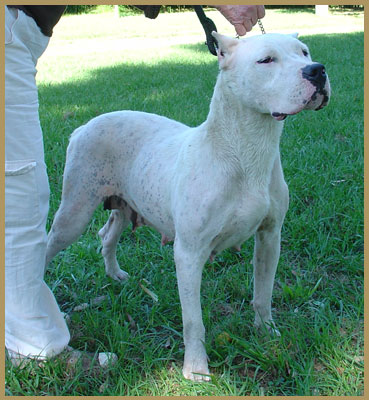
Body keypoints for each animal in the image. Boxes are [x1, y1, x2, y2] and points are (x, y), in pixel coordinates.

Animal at [46, 32, 330, 380]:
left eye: (304, 52)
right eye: (266, 60)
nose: (316, 70)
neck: (246, 151)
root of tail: (83, 126)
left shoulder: (269, 237)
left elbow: (263, 294)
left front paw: (267, 333)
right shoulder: (189, 253)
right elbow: (193, 320)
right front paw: (196, 368)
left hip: (125, 203)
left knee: (107, 235)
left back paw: (115, 275)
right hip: (73, 213)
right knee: (48, 246)